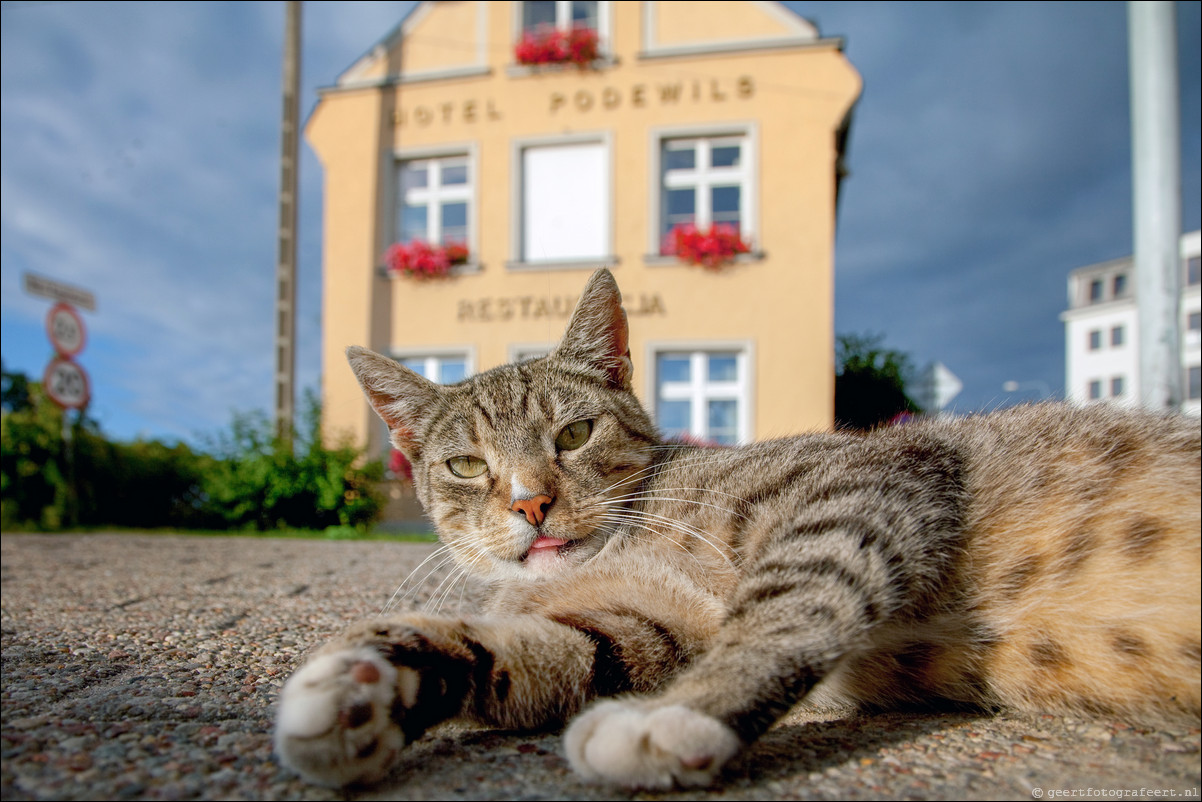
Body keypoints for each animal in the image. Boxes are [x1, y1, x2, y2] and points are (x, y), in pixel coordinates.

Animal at [275, 269, 1202, 788]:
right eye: (467, 466)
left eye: (573, 435)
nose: (531, 504)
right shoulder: (639, 631)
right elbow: (519, 655)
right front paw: (368, 685)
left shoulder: (870, 478)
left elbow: (788, 606)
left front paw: (678, 719)